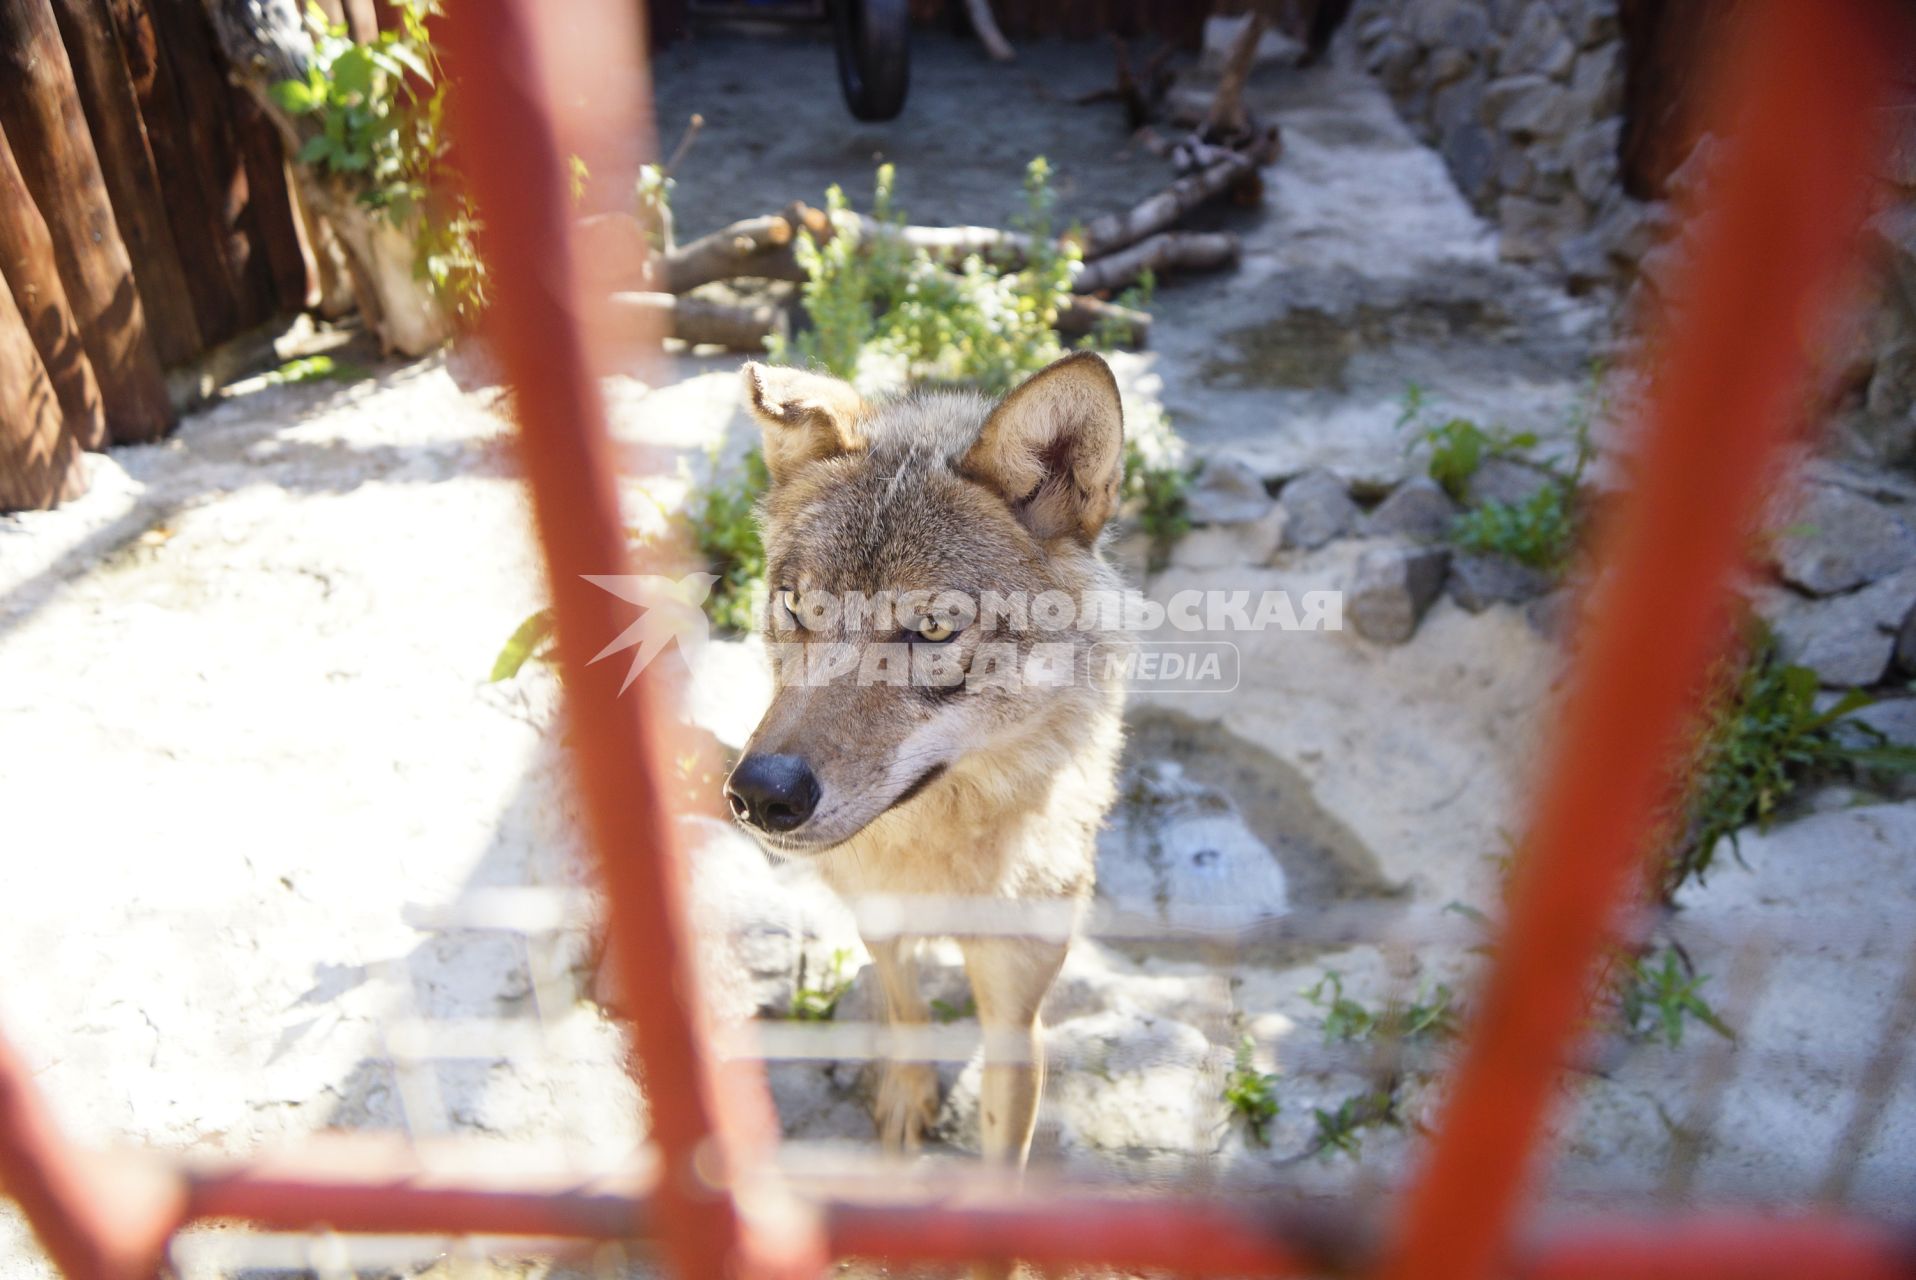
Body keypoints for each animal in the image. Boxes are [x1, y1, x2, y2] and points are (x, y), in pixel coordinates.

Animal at [724, 346, 1126, 1172]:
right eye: (797, 606)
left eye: (933, 628)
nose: (761, 794)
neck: (937, 856)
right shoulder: (874, 910)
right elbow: (903, 1001)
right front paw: (908, 1098)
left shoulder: (1014, 1014)